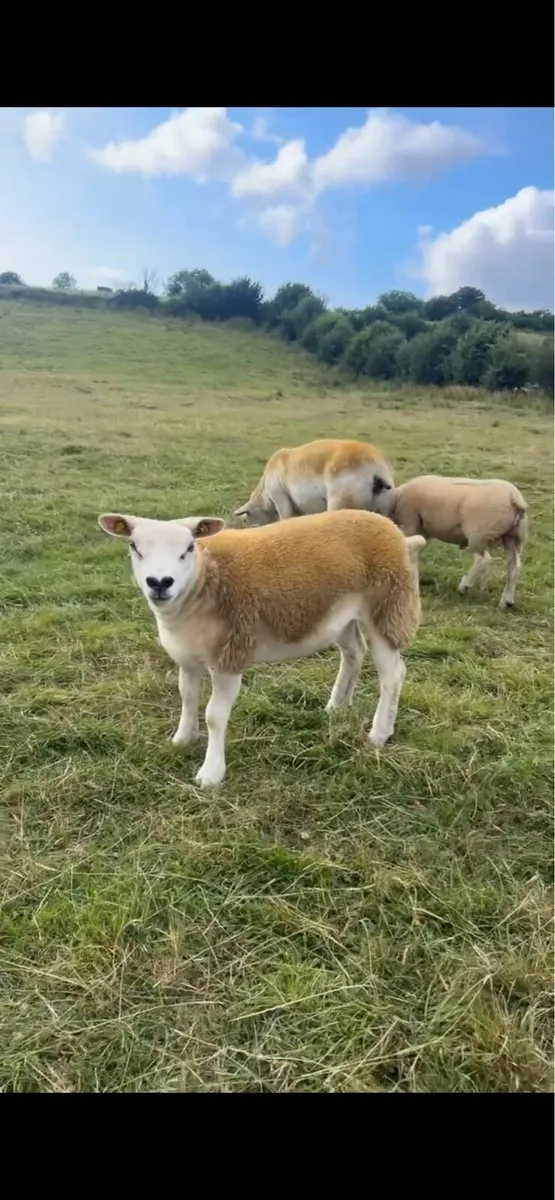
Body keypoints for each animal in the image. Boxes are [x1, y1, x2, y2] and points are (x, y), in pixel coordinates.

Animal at [98, 509, 426, 788]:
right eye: (134, 546)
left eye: (189, 548)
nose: (160, 582)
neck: (203, 582)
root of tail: (396, 532)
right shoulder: (187, 658)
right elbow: (187, 699)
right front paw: (182, 739)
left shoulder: (230, 655)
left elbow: (214, 716)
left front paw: (211, 773)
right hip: (341, 616)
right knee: (354, 652)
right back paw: (336, 707)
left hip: (389, 606)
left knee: (392, 675)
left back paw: (379, 734)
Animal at [381, 475, 528, 609]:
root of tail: (514, 497)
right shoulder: (423, 532)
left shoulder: (410, 521)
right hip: (513, 538)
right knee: (514, 567)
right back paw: (507, 600)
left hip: (479, 533)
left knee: (483, 559)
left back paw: (465, 586)